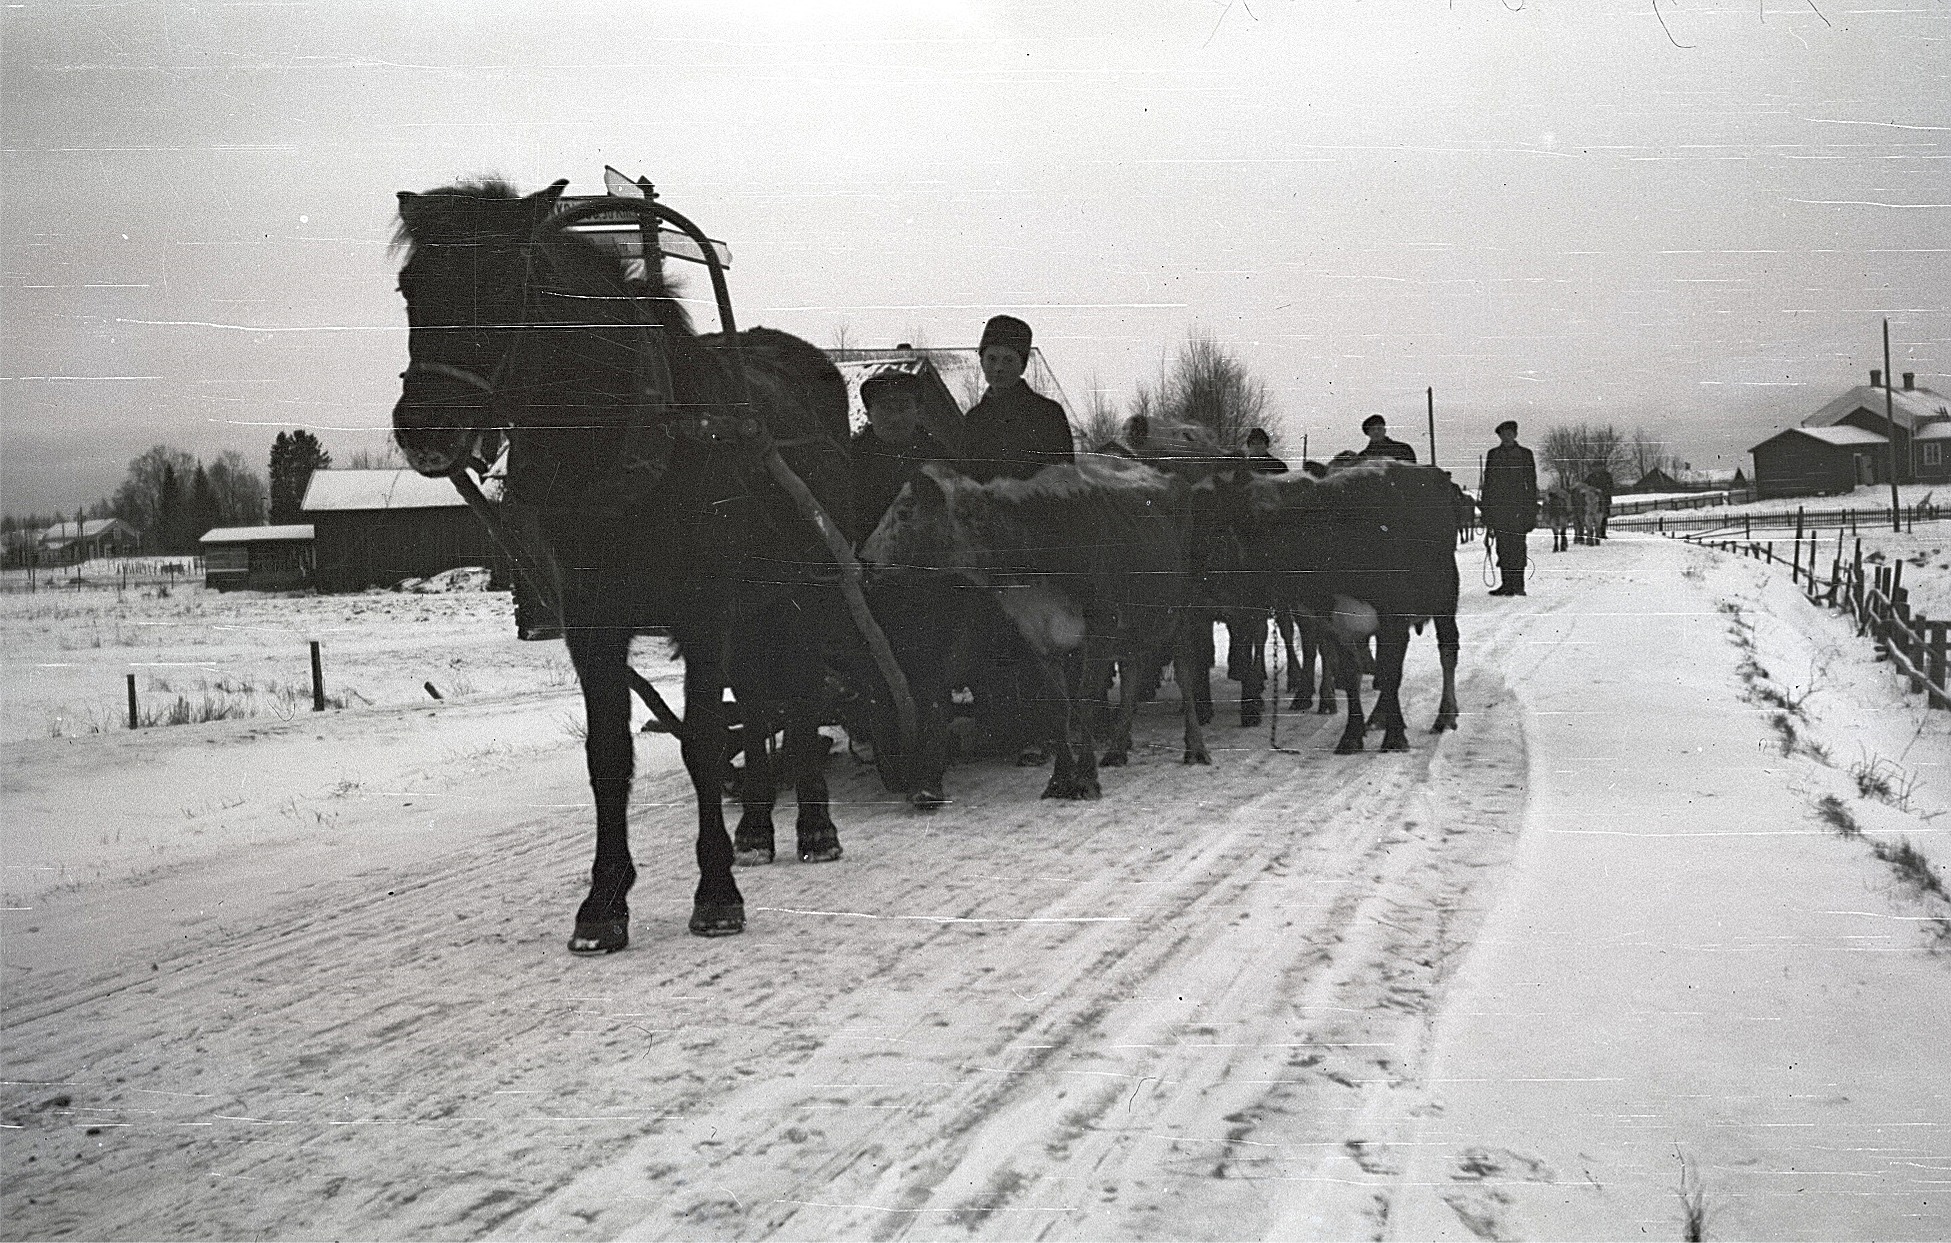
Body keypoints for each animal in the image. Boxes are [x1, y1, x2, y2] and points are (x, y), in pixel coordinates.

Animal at [390, 179, 854, 944]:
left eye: (507, 285)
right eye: (409, 285)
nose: (425, 425)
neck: (625, 446)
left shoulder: (704, 612)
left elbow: (701, 741)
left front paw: (715, 891)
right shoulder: (591, 623)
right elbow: (607, 756)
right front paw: (604, 902)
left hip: (806, 588)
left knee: (803, 692)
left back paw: (814, 825)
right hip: (755, 603)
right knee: (763, 702)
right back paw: (758, 826)